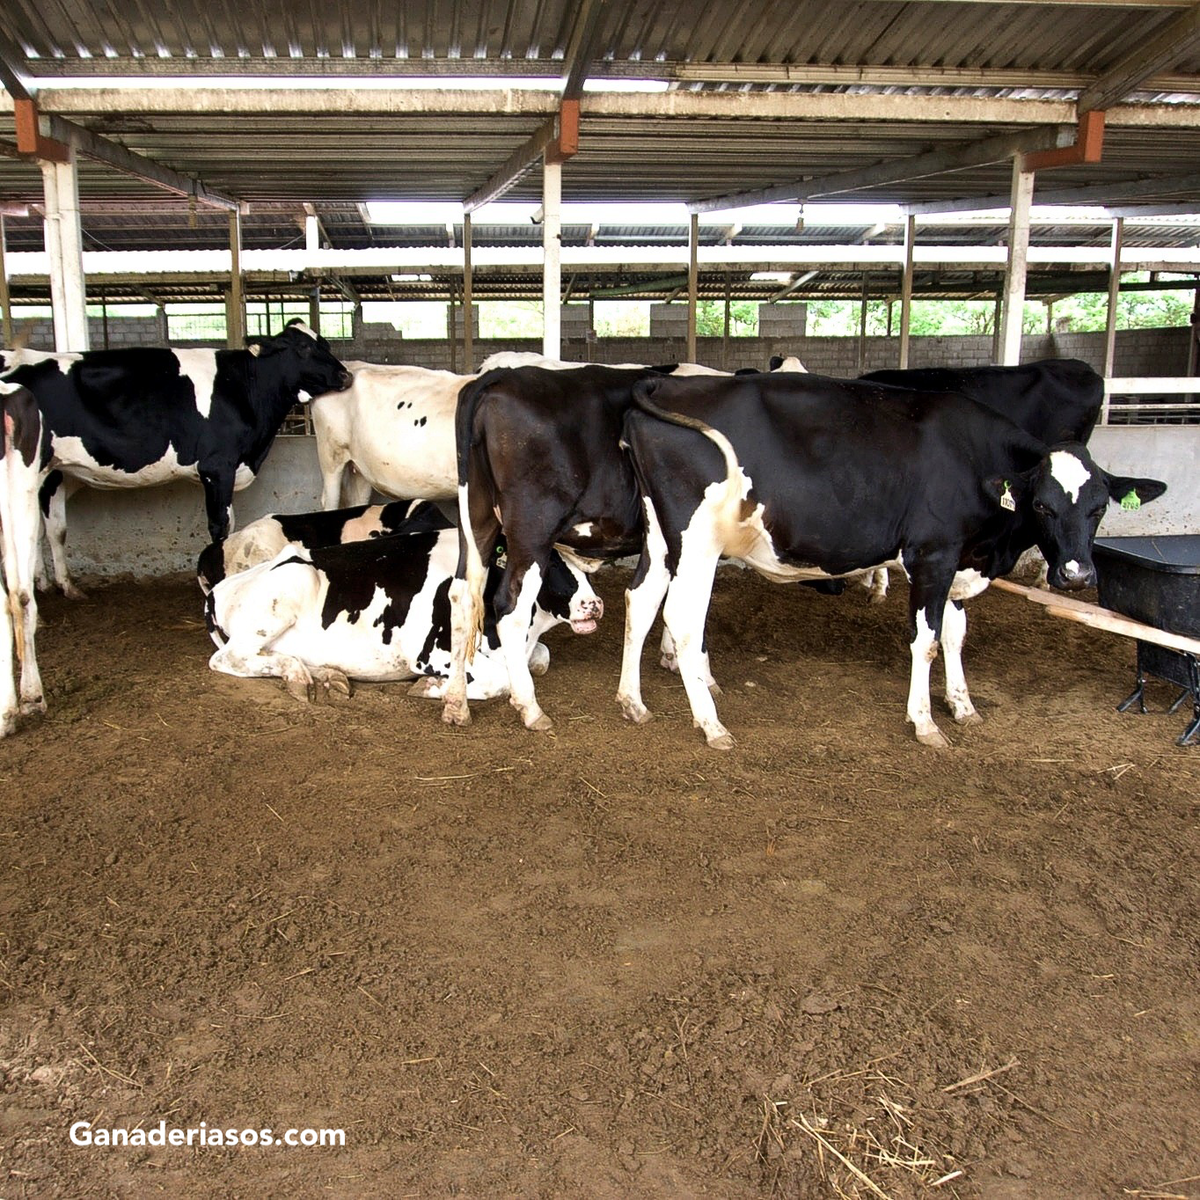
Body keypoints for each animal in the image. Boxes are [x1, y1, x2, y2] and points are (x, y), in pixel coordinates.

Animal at [1, 320, 353, 597]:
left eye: (325, 342)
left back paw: (50, 583)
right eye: (303, 347)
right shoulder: (217, 466)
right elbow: (220, 525)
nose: (345, 375)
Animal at [205, 512, 603, 703]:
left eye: (587, 566)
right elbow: (500, 681)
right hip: (291, 584)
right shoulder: (431, 652)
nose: (593, 605)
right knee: (228, 658)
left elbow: (541, 658)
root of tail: (220, 588)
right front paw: (432, 688)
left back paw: (327, 676)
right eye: (547, 563)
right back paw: (298, 676)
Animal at [614, 371, 1165, 750]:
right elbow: (927, 642)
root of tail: (667, 383)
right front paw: (925, 722)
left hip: (662, 539)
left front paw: (962, 705)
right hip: (697, 541)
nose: (1076, 575)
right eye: (1043, 506)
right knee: (683, 619)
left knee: (640, 600)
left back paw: (633, 702)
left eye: (1099, 508)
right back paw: (710, 723)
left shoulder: (959, 560)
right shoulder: (933, 554)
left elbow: (955, 635)